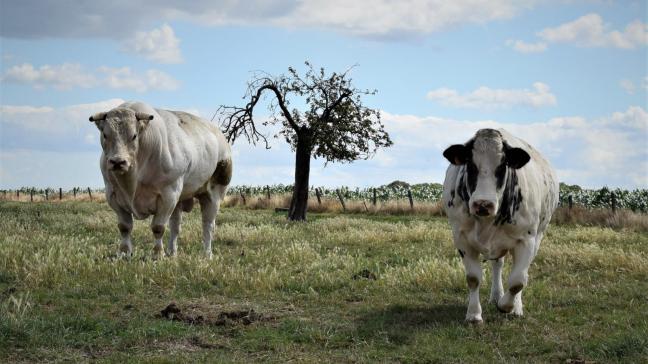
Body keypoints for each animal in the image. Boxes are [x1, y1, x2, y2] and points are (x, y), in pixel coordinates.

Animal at [88, 101, 233, 258]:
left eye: (134, 136)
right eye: (105, 134)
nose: (117, 162)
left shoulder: (168, 195)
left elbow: (158, 227)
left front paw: (157, 254)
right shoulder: (112, 195)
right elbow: (124, 227)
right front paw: (124, 253)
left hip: (213, 193)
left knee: (208, 225)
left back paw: (207, 254)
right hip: (179, 199)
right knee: (175, 226)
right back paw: (172, 253)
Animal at [442, 129, 560, 322]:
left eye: (503, 165)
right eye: (470, 164)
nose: (483, 203)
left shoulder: (527, 240)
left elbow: (518, 281)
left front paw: (507, 306)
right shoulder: (461, 238)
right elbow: (473, 278)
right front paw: (474, 314)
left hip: (538, 236)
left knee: (522, 273)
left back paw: (515, 306)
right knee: (498, 265)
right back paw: (496, 295)